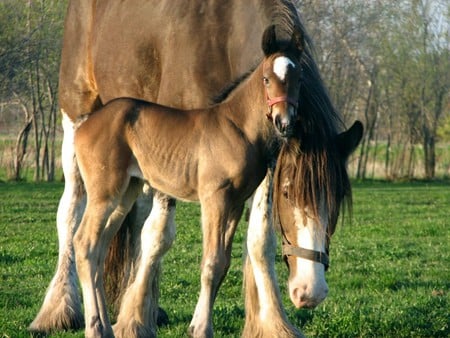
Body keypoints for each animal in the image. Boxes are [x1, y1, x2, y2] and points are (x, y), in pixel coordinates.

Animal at [29, 0, 356, 338]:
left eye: (338, 200)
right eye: (288, 194)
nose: (310, 292)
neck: (234, 123)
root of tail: (89, 125)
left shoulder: (240, 196)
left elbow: (248, 245)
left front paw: (272, 324)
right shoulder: (213, 198)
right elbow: (186, 249)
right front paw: (177, 325)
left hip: (126, 189)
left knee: (104, 242)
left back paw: (111, 322)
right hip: (82, 136)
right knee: (75, 224)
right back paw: (68, 316)